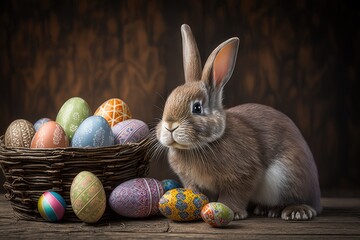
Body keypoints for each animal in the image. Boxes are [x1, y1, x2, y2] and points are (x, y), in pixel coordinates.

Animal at [155, 24, 320, 221]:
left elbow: (233, 194)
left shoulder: (243, 174)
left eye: (197, 108)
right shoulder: (191, 181)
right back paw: (264, 210)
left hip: (290, 177)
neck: (205, 143)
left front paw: (232, 212)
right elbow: (196, 192)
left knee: (304, 201)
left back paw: (296, 211)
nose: (169, 126)